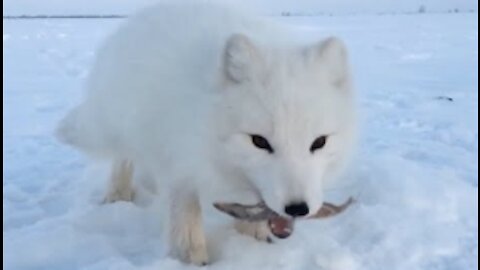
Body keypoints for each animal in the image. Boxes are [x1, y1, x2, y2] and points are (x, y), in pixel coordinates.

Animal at [56, 1, 356, 264]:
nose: (297, 209)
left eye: (319, 142)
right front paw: (190, 258)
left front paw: (252, 241)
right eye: (259, 141)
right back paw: (118, 194)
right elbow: (184, 213)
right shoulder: (177, 158)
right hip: (121, 124)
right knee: (123, 156)